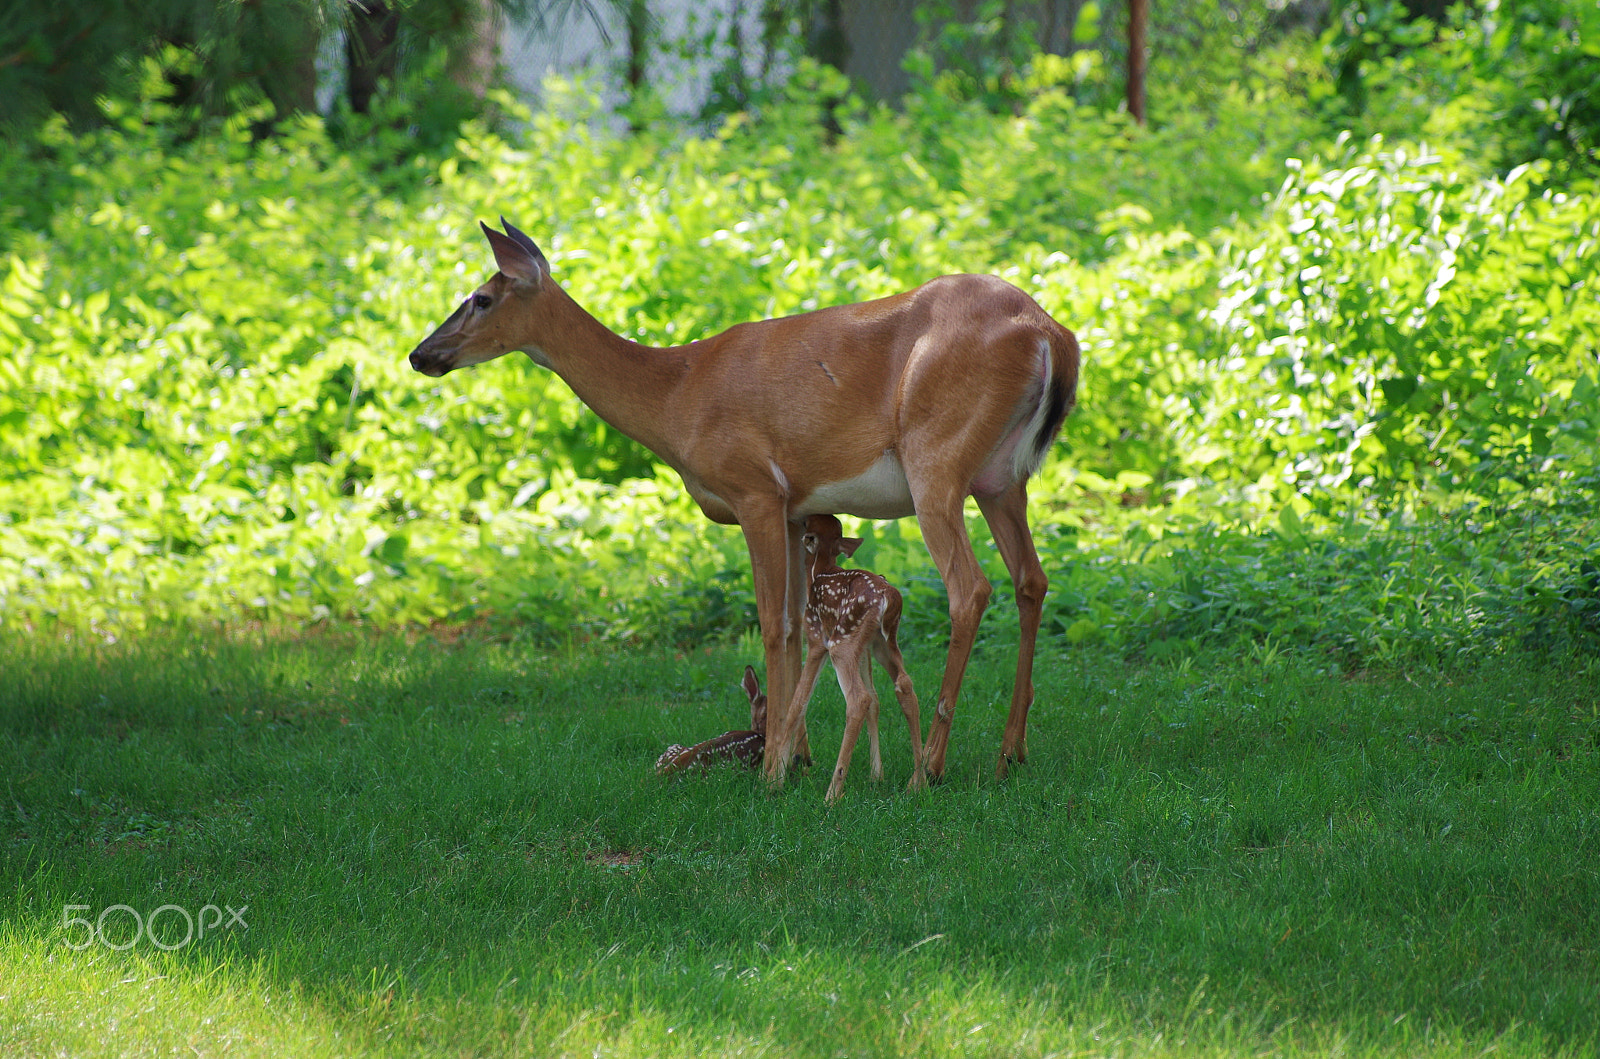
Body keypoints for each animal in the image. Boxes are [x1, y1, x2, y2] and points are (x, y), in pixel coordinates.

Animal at [406, 219, 1081, 783]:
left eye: (481, 298)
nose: (419, 354)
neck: (677, 394)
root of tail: (1051, 333)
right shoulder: (795, 510)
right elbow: (792, 622)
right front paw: (797, 754)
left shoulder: (755, 489)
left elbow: (771, 622)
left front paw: (775, 766)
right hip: (1001, 479)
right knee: (1031, 579)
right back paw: (1010, 750)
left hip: (935, 460)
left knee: (970, 587)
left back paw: (934, 764)